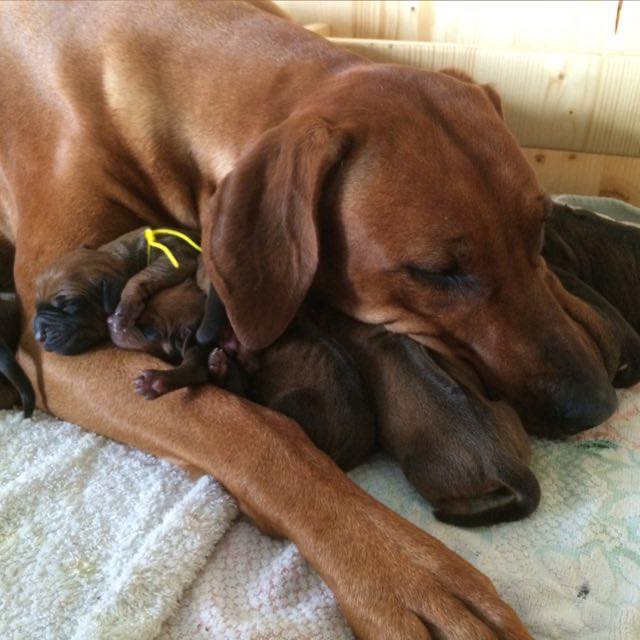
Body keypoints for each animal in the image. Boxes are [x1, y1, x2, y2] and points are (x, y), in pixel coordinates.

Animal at [7, 1, 625, 635]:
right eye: (436, 273)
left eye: (540, 228)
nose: (596, 406)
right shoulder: (56, 339)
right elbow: (252, 431)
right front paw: (409, 575)